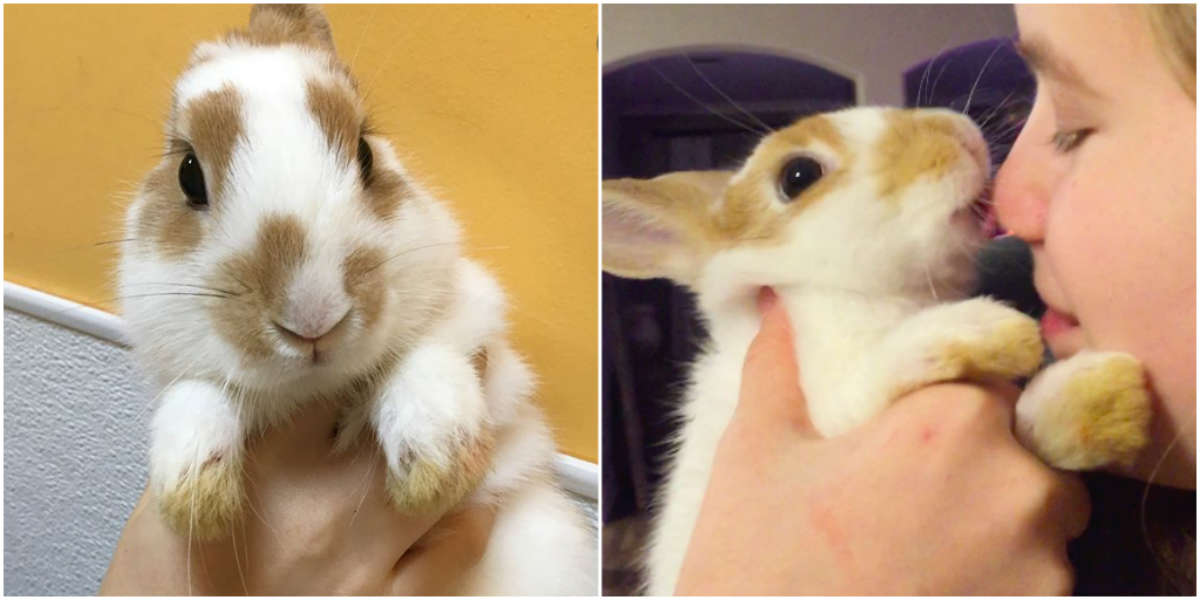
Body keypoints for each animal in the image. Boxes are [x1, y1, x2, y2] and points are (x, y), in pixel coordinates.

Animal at [117, 5, 595, 595]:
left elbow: (424, 356)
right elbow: (197, 395)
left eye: (365, 153)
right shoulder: (182, 369)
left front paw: (437, 468)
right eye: (188, 175)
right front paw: (194, 500)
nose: (313, 316)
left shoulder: (469, 317)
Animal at [600, 105, 1152, 592]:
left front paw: (1107, 396)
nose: (958, 132)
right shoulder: (835, 404)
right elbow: (879, 369)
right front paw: (998, 331)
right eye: (797, 175)